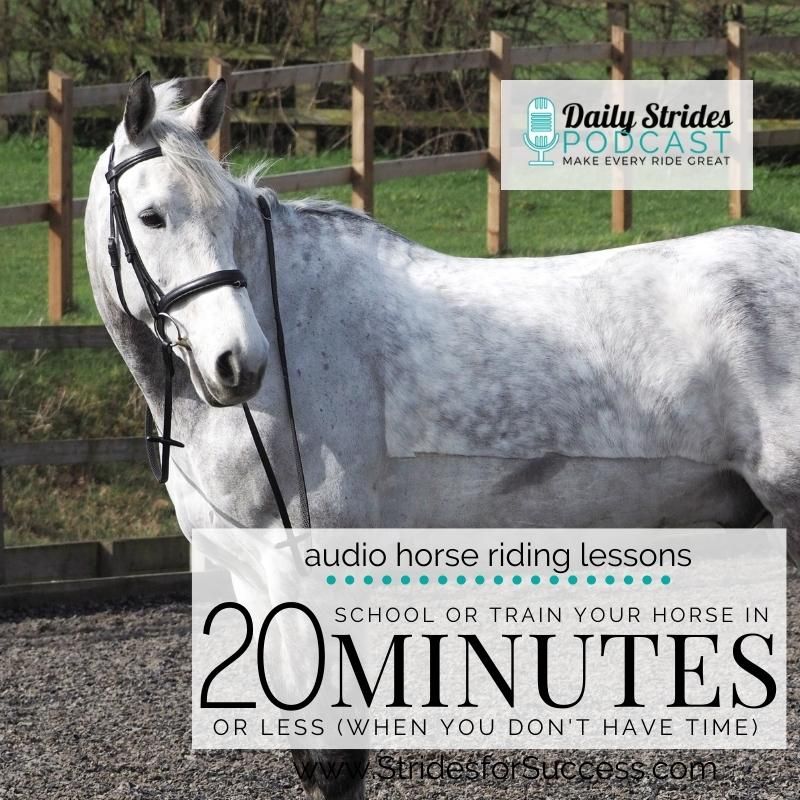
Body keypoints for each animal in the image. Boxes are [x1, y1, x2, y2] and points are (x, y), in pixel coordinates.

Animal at [85, 73, 798, 799]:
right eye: (151, 216)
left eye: (227, 218)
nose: (239, 362)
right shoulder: (253, 576)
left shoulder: (309, 568)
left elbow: (337, 761)